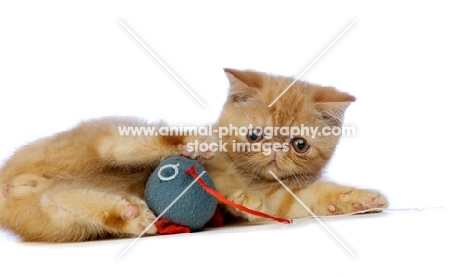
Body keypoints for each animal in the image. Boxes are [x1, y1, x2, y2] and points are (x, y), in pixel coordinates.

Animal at [0, 68, 388, 240]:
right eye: (255, 135)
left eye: (299, 144)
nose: (274, 152)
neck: (251, 176)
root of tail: (10, 181)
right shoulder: (227, 172)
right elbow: (231, 186)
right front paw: (240, 197)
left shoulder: (282, 197)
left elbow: (305, 200)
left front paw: (358, 200)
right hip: (99, 136)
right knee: (112, 144)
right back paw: (192, 143)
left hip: (55, 222)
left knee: (55, 201)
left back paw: (129, 215)